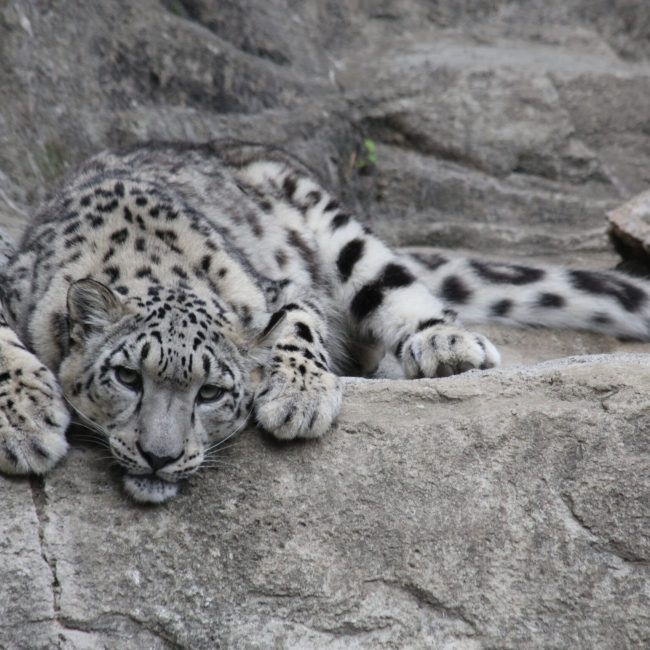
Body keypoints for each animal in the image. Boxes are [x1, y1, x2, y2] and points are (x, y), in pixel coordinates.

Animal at [0, 140, 648, 503]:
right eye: (128, 377)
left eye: (210, 392)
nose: (160, 455)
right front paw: (26, 423)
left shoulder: (282, 289)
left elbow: (299, 323)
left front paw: (299, 398)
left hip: (339, 229)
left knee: (397, 288)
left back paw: (444, 345)